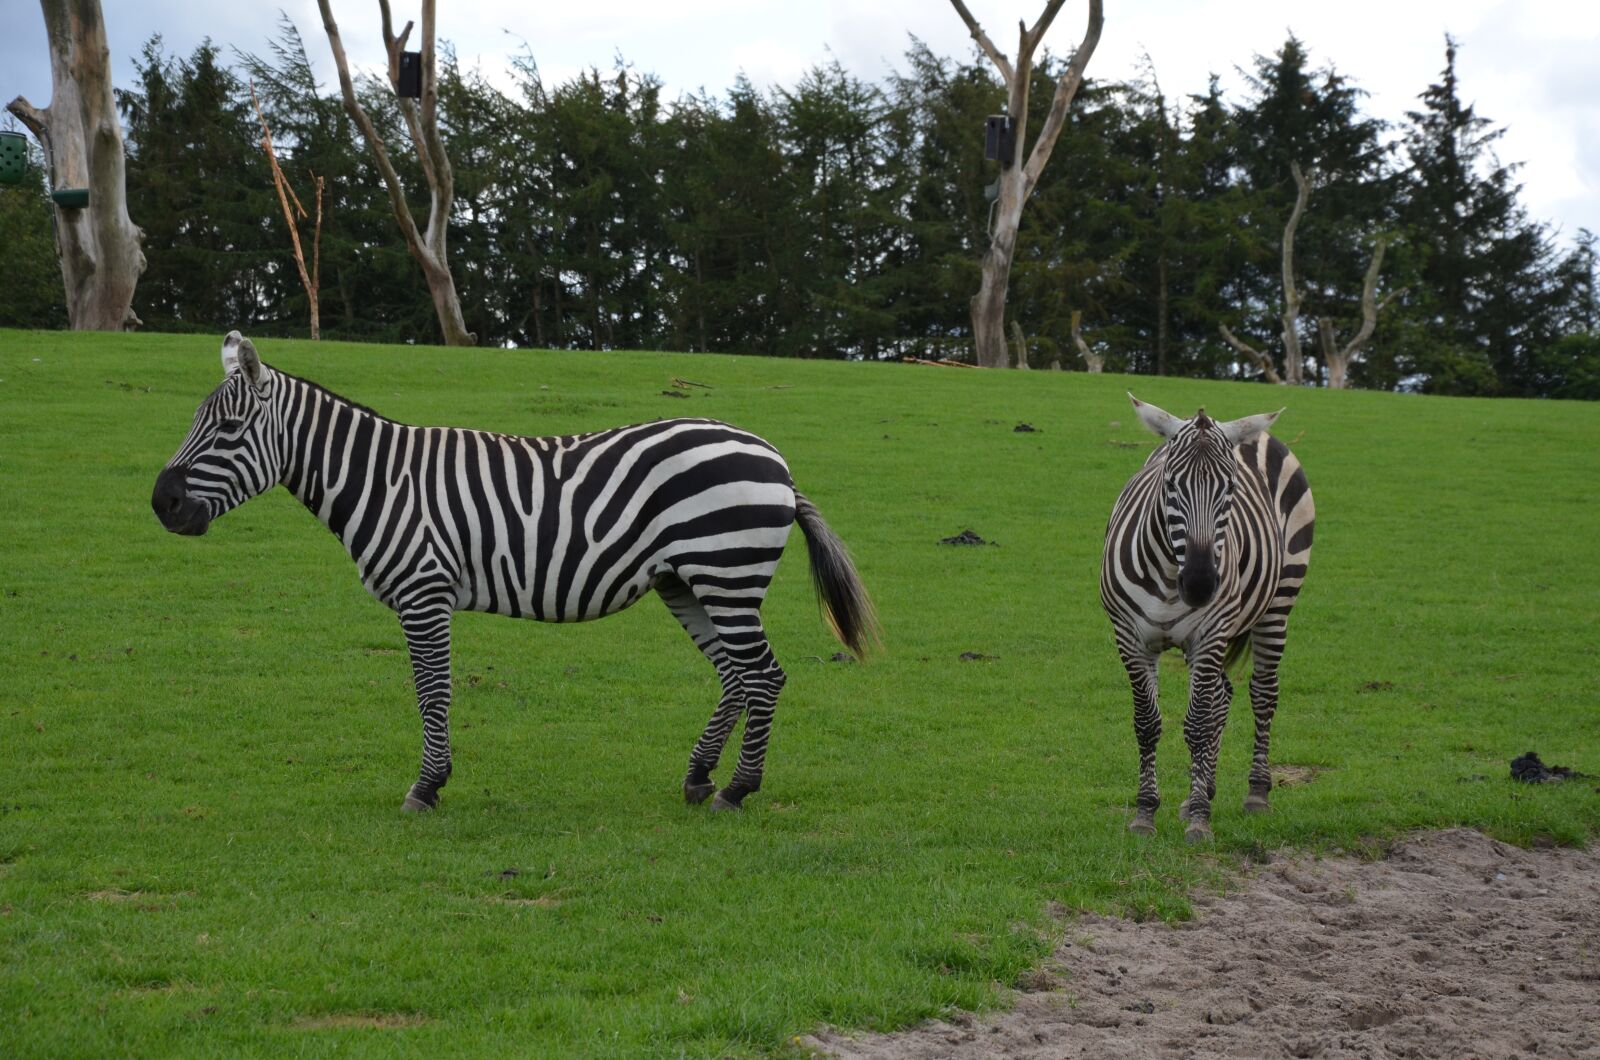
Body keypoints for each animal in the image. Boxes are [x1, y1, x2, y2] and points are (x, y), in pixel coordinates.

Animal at [151, 332, 878, 813]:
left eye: (229, 428)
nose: (162, 503)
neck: (382, 482)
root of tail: (776, 459)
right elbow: (434, 692)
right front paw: (435, 780)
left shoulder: (423, 591)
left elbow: (432, 692)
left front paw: (427, 787)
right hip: (688, 581)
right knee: (736, 677)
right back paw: (700, 777)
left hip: (726, 573)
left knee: (764, 676)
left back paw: (737, 789)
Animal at [1100, 394, 1314, 842]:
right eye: (1169, 485)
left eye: (1231, 488)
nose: (1200, 585)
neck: (1169, 575)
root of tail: (1256, 434)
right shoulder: (1130, 637)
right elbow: (1147, 722)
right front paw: (1146, 813)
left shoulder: (1209, 634)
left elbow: (1197, 725)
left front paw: (1200, 819)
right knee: (1222, 695)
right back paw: (1205, 789)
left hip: (1279, 600)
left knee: (1262, 693)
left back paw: (1256, 793)